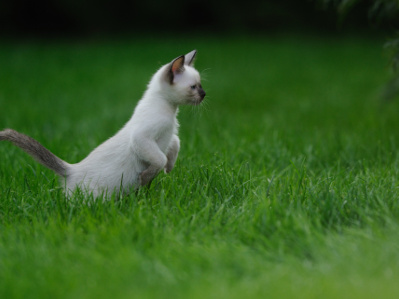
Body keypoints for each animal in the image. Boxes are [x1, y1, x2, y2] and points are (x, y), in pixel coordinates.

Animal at [0, 50, 206, 198]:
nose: (204, 95)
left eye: (200, 85)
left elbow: (174, 145)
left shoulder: (168, 136)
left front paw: (168, 169)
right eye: (193, 87)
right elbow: (160, 158)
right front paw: (146, 177)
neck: (171, 110)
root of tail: (71, 170)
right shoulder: (143, 138)